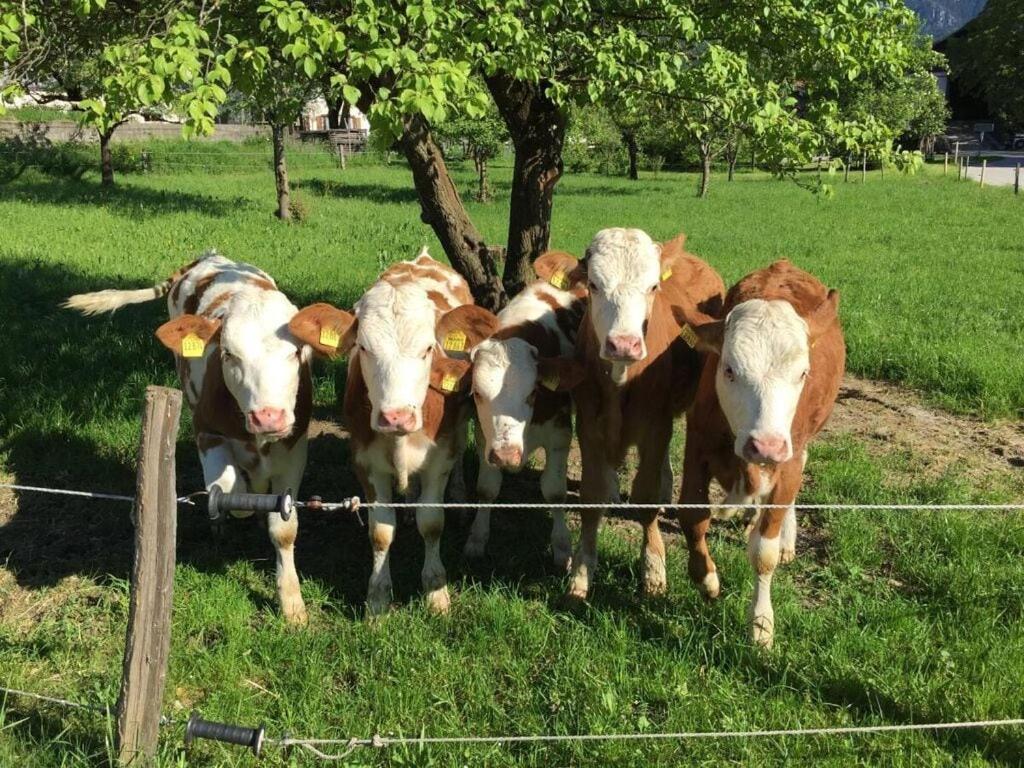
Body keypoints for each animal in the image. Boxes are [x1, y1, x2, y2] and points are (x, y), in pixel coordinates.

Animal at [62, 252, 315, 626]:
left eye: (296, 353)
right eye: (228, 354)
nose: (268, 416)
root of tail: (207, 256)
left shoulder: (295, 447)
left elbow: (284, 528)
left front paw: (292, 604)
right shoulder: (206, 432)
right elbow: (233, 494)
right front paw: (233, 511)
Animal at [284, 249, 491, 618]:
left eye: (428, 349)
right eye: (364, 348)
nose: (396, 416)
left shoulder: (438, 460)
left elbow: (432, 523)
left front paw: (436, 592)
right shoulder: (366, 464)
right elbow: (381, 531)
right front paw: (378, 598)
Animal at [440, 256, 585, 569]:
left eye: (532, 393)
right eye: (477, 394)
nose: (507, 456)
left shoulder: (559, 435)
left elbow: (554, 490)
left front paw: (562, 548)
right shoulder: (487, 439)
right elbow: (487, 488)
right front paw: (477, 539)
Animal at [569, 228, 729, 606]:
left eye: (653, 286)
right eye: (593, 284)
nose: (623, 344)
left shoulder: (655, 426)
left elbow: (646, 495)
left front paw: (654, 569)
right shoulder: (588, 426)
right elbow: (591, 496)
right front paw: (581, 572)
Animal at [675, 260, 843, 651]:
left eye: (803, 373)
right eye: (729, 369)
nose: (765, 445)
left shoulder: (788, 459)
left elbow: (763, 553)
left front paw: (762, 625)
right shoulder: (697, 444)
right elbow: (692, 516)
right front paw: (706, 579)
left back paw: (786, 538)